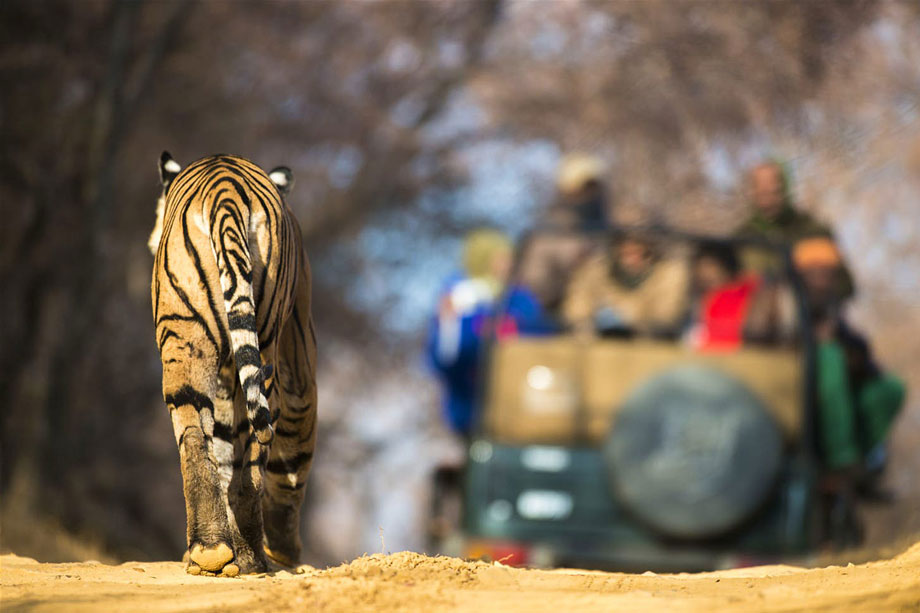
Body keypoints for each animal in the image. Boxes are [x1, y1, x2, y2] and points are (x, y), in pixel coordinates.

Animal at [149, 152, 317, 576]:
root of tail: (224, 187)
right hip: (235, 343)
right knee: (249, 444)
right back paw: (233, 551)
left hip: (189, 336)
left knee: (209, 436)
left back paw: (226, 551)